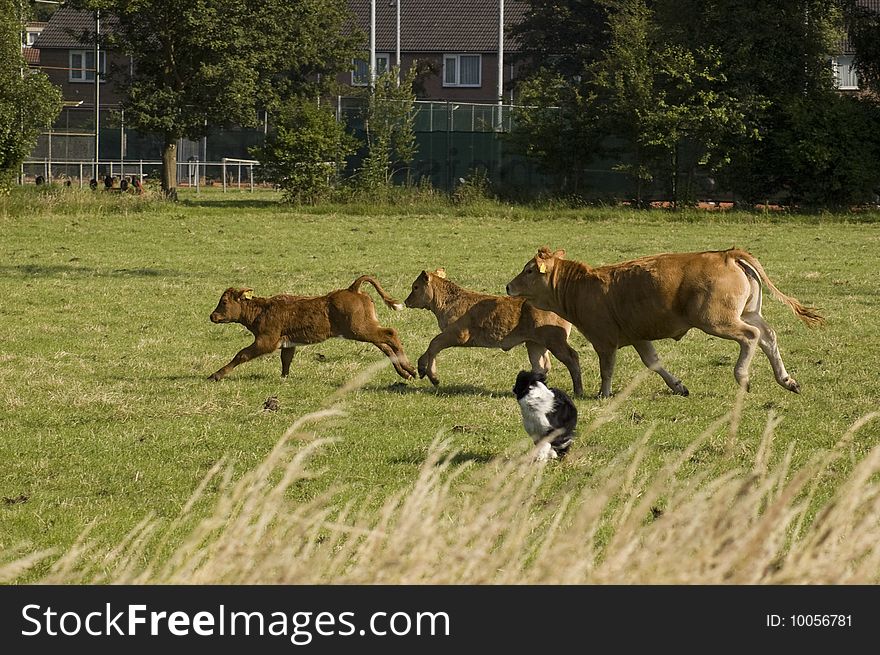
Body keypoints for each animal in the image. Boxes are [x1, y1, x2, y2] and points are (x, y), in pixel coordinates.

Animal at [208, 274, 418, 382]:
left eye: (224, 302)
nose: (212, 316)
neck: (262, 310)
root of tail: (352, 289)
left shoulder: (266, 341)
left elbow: (241, 354)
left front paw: (216, 374)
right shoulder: (288, 343)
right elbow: (286, 360)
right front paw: (284, 378)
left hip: (360, 329)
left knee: (390, 334)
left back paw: (409, 368)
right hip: (365, 328)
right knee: (385, 345)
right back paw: (405, 372)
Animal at [406, 270, 584, 398]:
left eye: (415, 287)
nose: (407, 301)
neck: (449, 301)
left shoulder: (457, 334)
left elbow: (433, 344)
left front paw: (429, 374)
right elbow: (432, 348)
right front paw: (425, 372)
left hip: (555, 341)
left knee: (572, 358)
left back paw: (578, 391)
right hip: (535, 344)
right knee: (541, 366)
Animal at [508, 247, 824, 398]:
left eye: (529, 270)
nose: (509, 286)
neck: (582, 286)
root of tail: (726, 255)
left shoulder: (604, 340)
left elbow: (607, 369)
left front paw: (603, 394)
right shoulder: (639, 337)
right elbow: (654, 363)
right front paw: (678, 386)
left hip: (718, 321)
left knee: (751, 336)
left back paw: (742, 376)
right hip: (747, 311)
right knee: (768, 335)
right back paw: (786, 380)